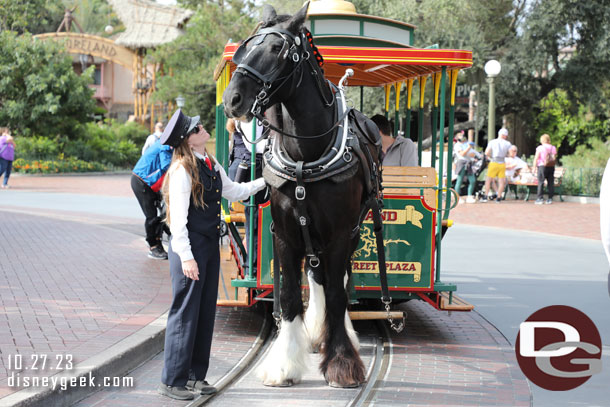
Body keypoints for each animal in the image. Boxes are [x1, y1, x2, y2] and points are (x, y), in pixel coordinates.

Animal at [222, 3, 380, 390]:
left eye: (277, 49)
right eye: (246, 46)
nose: (232, 99)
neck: (306, 158)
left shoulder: (339, 235)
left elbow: (338, 295)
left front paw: (342, 362)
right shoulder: (286, 234)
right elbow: (291, 295)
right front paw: (283, 365)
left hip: (354, 233)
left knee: (339, 281)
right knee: (316, 278)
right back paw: (315, 333)